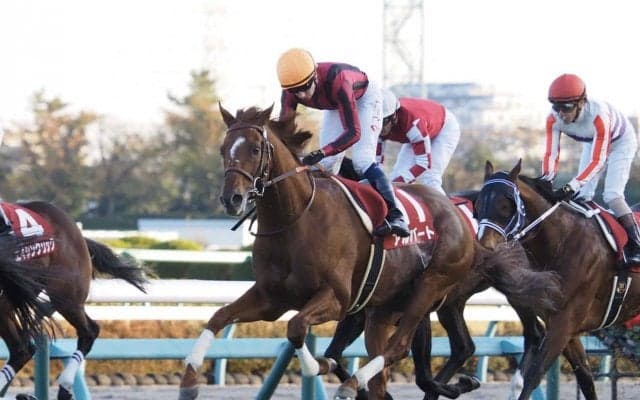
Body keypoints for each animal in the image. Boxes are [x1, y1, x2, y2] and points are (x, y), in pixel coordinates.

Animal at [178, 104, 547, 400]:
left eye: (255, 149)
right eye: (223, 149)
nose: (232, 199)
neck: (296, 219)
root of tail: (460, 217)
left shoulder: (337, 298)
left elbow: (296, 329)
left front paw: (319, 366)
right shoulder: (271, 298)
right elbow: (219, 317)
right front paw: (189, 380)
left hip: (433, 288)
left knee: (402, 347)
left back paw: (356, 383)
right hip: (387, 309)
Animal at [475, 159, 640, 400]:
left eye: (505, 205)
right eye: (478, 204)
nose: (484, 249)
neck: (563, 240)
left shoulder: (564, 323)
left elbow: (532, 377)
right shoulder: (563, 326)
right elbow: (585, 379)